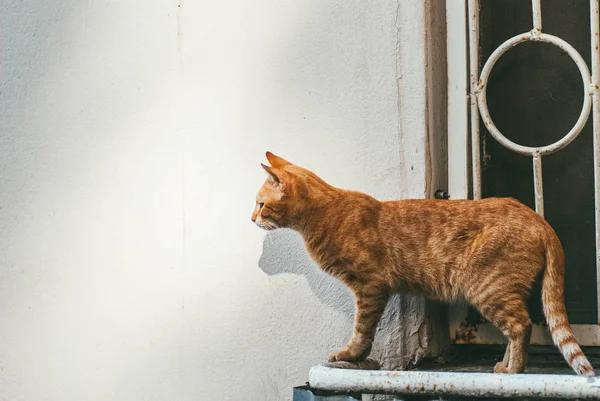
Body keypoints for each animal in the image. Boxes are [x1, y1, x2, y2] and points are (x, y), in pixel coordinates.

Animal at [253, 151, 596, 376]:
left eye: (260, 204)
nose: (251, 218)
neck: (323, 213)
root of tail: (537, 217)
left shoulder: (370, 287)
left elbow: (362, 330)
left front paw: (350, 354)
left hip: (489, 289)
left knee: (521, 326)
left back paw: (515, 370)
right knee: (517, 328)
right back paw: (505, 365)